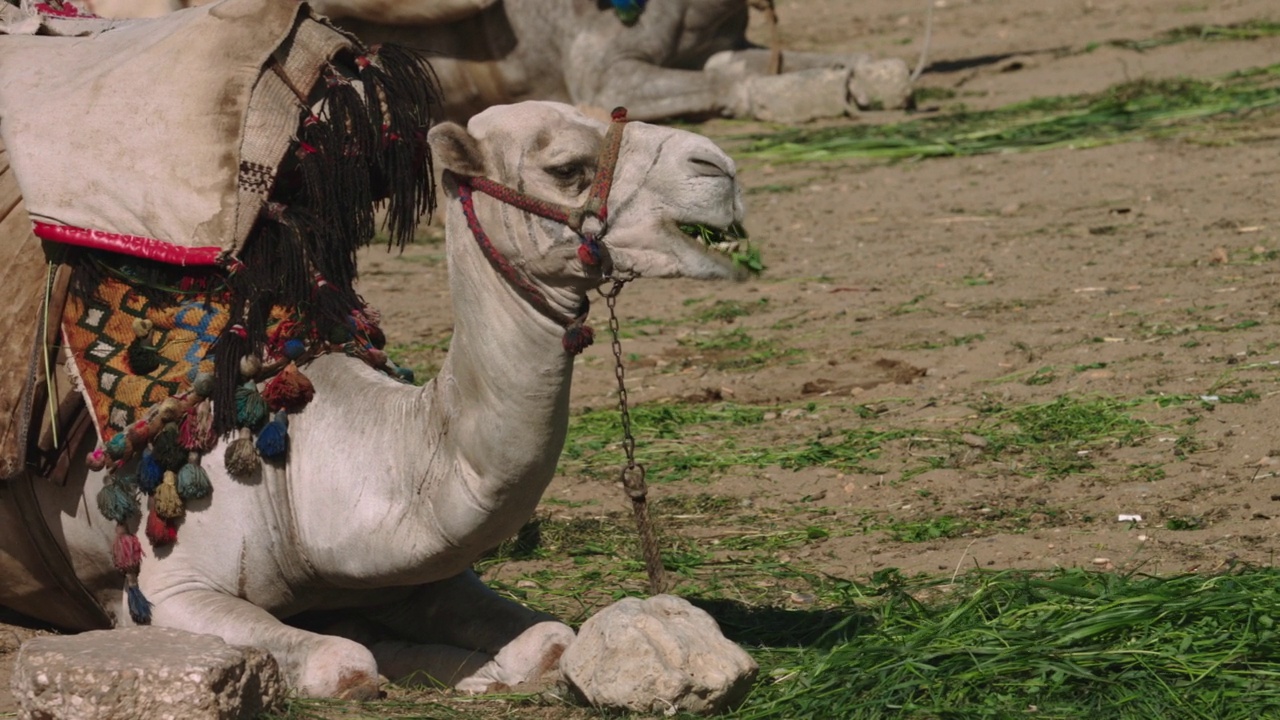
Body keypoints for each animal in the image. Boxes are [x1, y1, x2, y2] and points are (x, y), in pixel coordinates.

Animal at [0, 101, 747, 696]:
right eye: (566, 166)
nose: (721, 169)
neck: (298, 468)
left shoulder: (417, 571)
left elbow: (549, 642)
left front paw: (467, 669)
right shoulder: (167, 589)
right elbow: (343, 661)